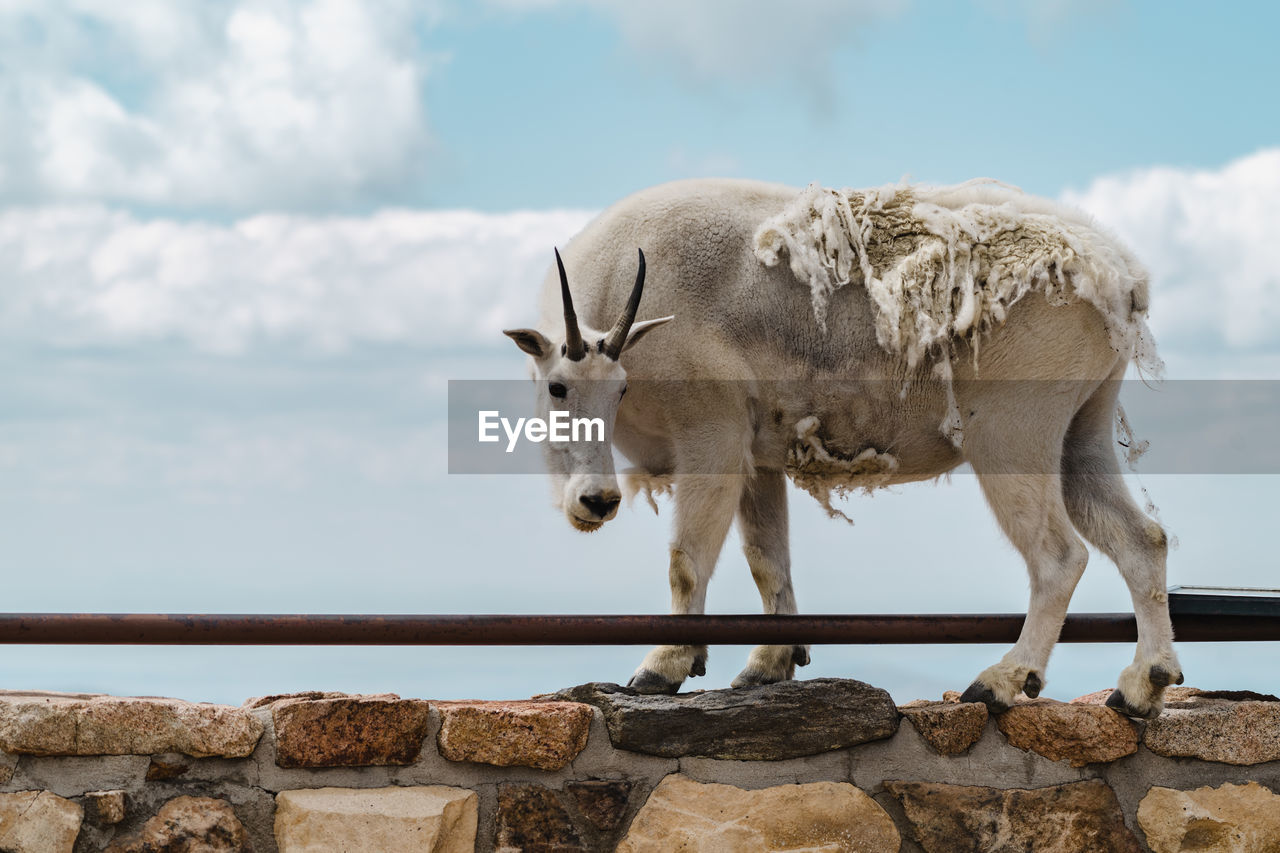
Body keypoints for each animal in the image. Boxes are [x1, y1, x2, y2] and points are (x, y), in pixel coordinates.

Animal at [504, 179, 1182, 717]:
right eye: (558, 387)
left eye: (619, 387)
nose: (595, 502)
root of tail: (1121, 278)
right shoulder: (757, 449)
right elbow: (767, 559)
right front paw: (770, 663)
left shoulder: (711, 433)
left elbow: (687, 559)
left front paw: (662, 665)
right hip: (1082, 428)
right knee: (1141, 539)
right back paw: (1144, 684)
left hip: (1012, 431)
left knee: (1059, 556)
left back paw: (1003, 680)